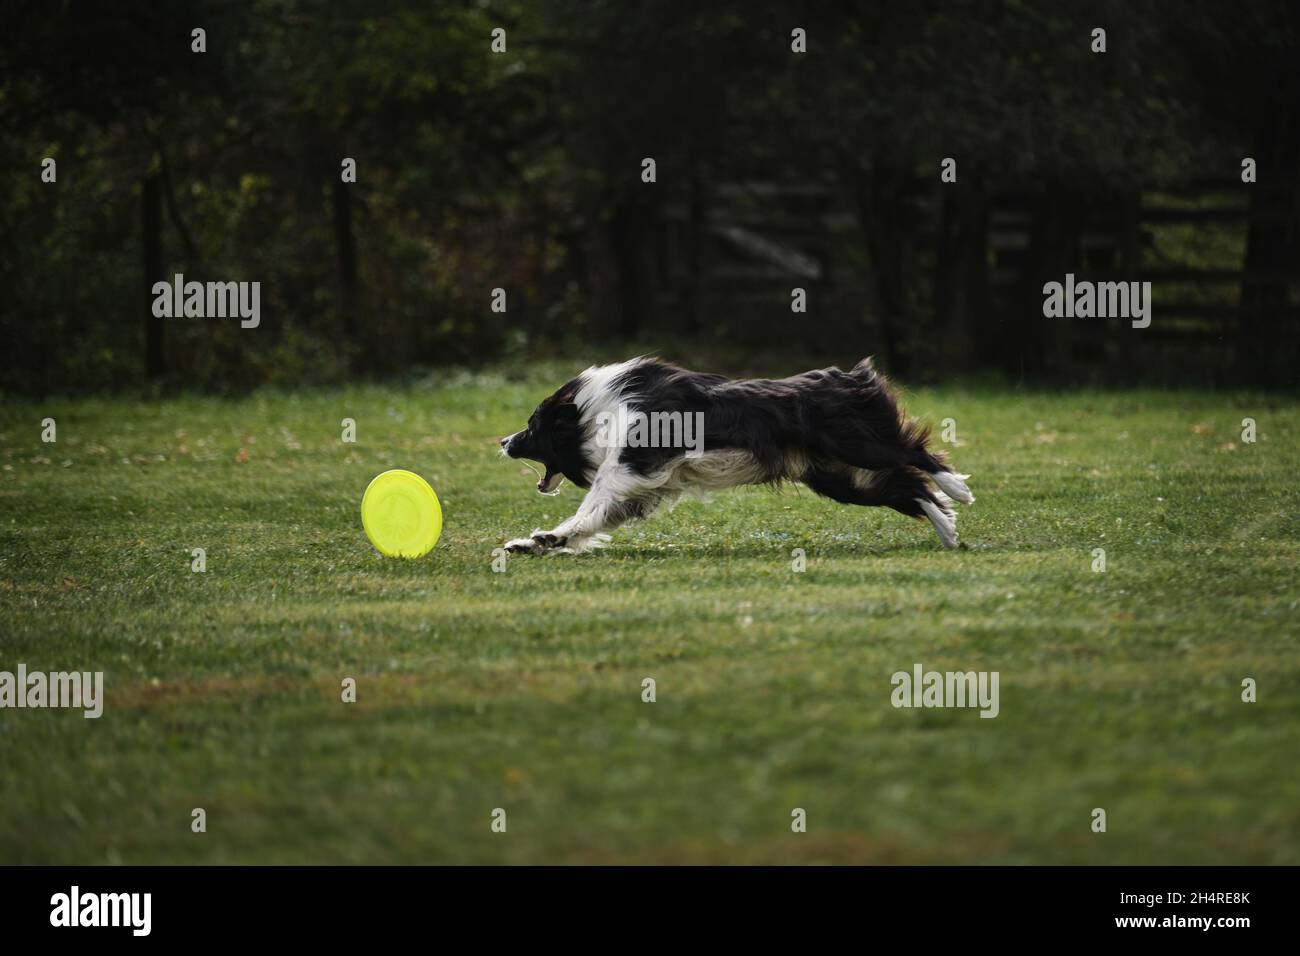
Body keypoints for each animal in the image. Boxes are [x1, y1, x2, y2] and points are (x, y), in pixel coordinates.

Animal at [496, 356, 977, 554]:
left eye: (533, 427)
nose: (503, 442)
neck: (595, 413)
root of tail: (847, 376)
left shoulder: (632, 465)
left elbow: (593, 501)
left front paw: (542, 540)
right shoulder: (641, 487)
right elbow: (590, 519)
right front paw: (537, 542)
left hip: (859, 444)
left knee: (916, 454)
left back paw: (958, 491)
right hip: (843, 478)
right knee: (911, 489)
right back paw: (948, 531)